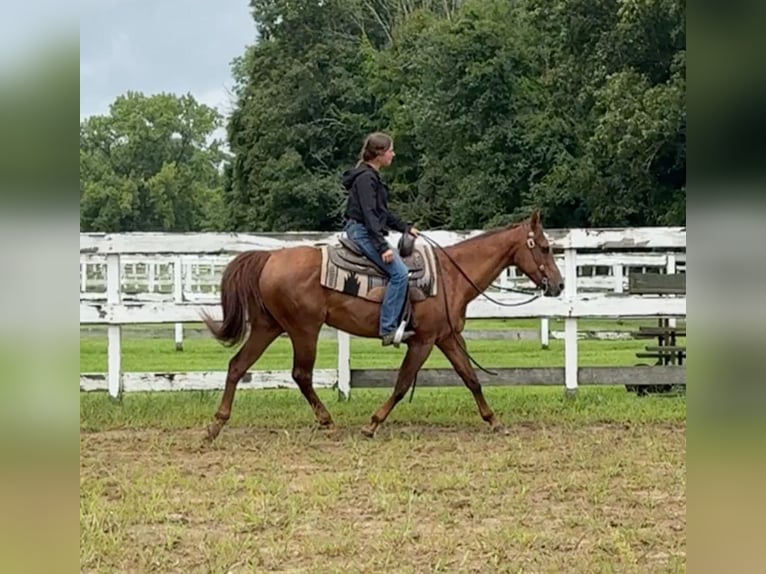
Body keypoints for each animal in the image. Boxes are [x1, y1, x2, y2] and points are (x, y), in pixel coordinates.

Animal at [202, 212, 564, 440]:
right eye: (545, 247)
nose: (559, 285)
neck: (450, 276)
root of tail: (270, 257)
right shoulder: (423, 341)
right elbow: (402, 384)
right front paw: (373, 424)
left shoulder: (447, 337)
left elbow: (471, 378)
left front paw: (494, 421)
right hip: (304, 330)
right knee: (300, 375)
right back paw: (327, 421)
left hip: (268, 326)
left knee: (237, 366)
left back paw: (216, 425)